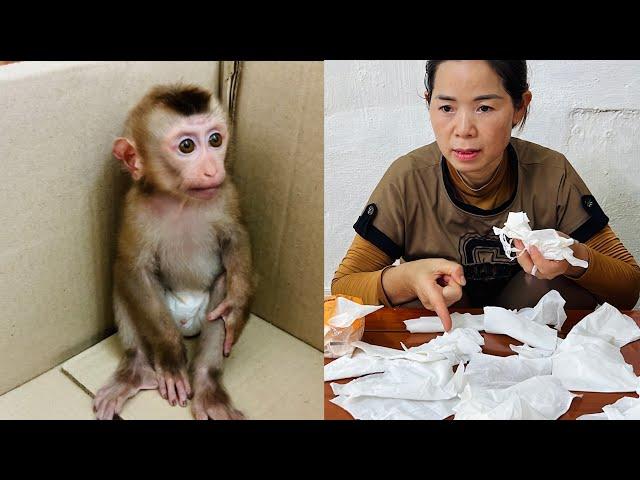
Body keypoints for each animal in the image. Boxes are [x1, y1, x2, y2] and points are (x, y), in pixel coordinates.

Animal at [94, 83, 254, 420]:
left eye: (215, 139)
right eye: (186, 146)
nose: (212, 169)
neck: (180, 200)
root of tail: (186, 322)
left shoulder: (228, 193)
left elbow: (237, 238)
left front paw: (237, 306)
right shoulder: (134, 208)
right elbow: (132, 267)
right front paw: (171, 357)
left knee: (221, 284)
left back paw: (207, 386)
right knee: (122, 281)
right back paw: (138, 369)